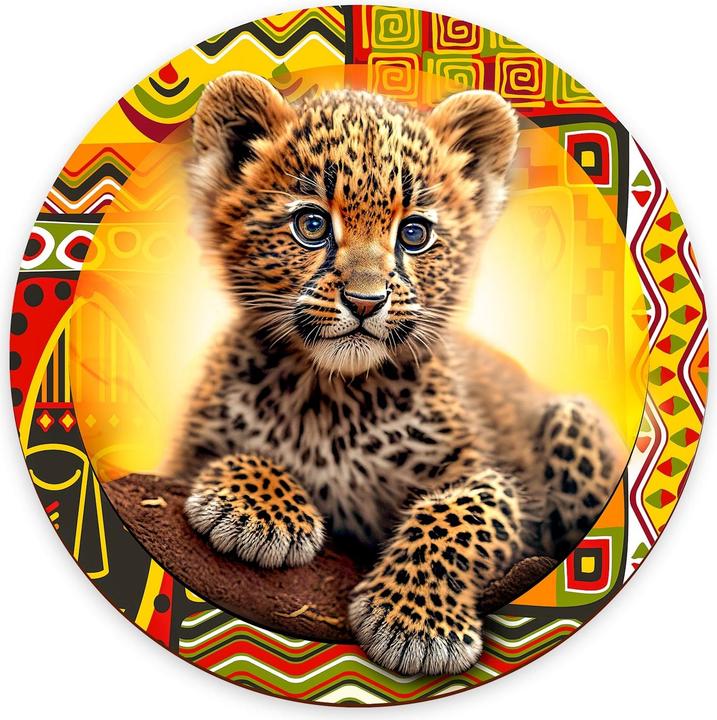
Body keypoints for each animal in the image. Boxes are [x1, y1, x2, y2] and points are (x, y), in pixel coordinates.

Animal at [166, 71, 627, 676]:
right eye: (312, 225)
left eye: (413, 234)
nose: (366, 301)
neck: (331, 397)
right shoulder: (184, 453)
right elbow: (229, 453)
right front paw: (255, 510)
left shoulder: (480, 470)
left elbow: (466, 512)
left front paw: (415, 623)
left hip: (572, 416)